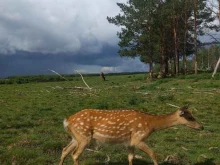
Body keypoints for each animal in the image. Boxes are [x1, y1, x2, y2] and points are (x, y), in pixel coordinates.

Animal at [59, 105, 204, 165]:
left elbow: (130, 158)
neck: (151, 124)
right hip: (84, 136)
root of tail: (67, 120)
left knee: (65, 150)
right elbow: (153, 153)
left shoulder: (129, 142)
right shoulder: (138, 138)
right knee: (75, 155)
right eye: (190, 117)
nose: (201, 127)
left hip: (76, 137)